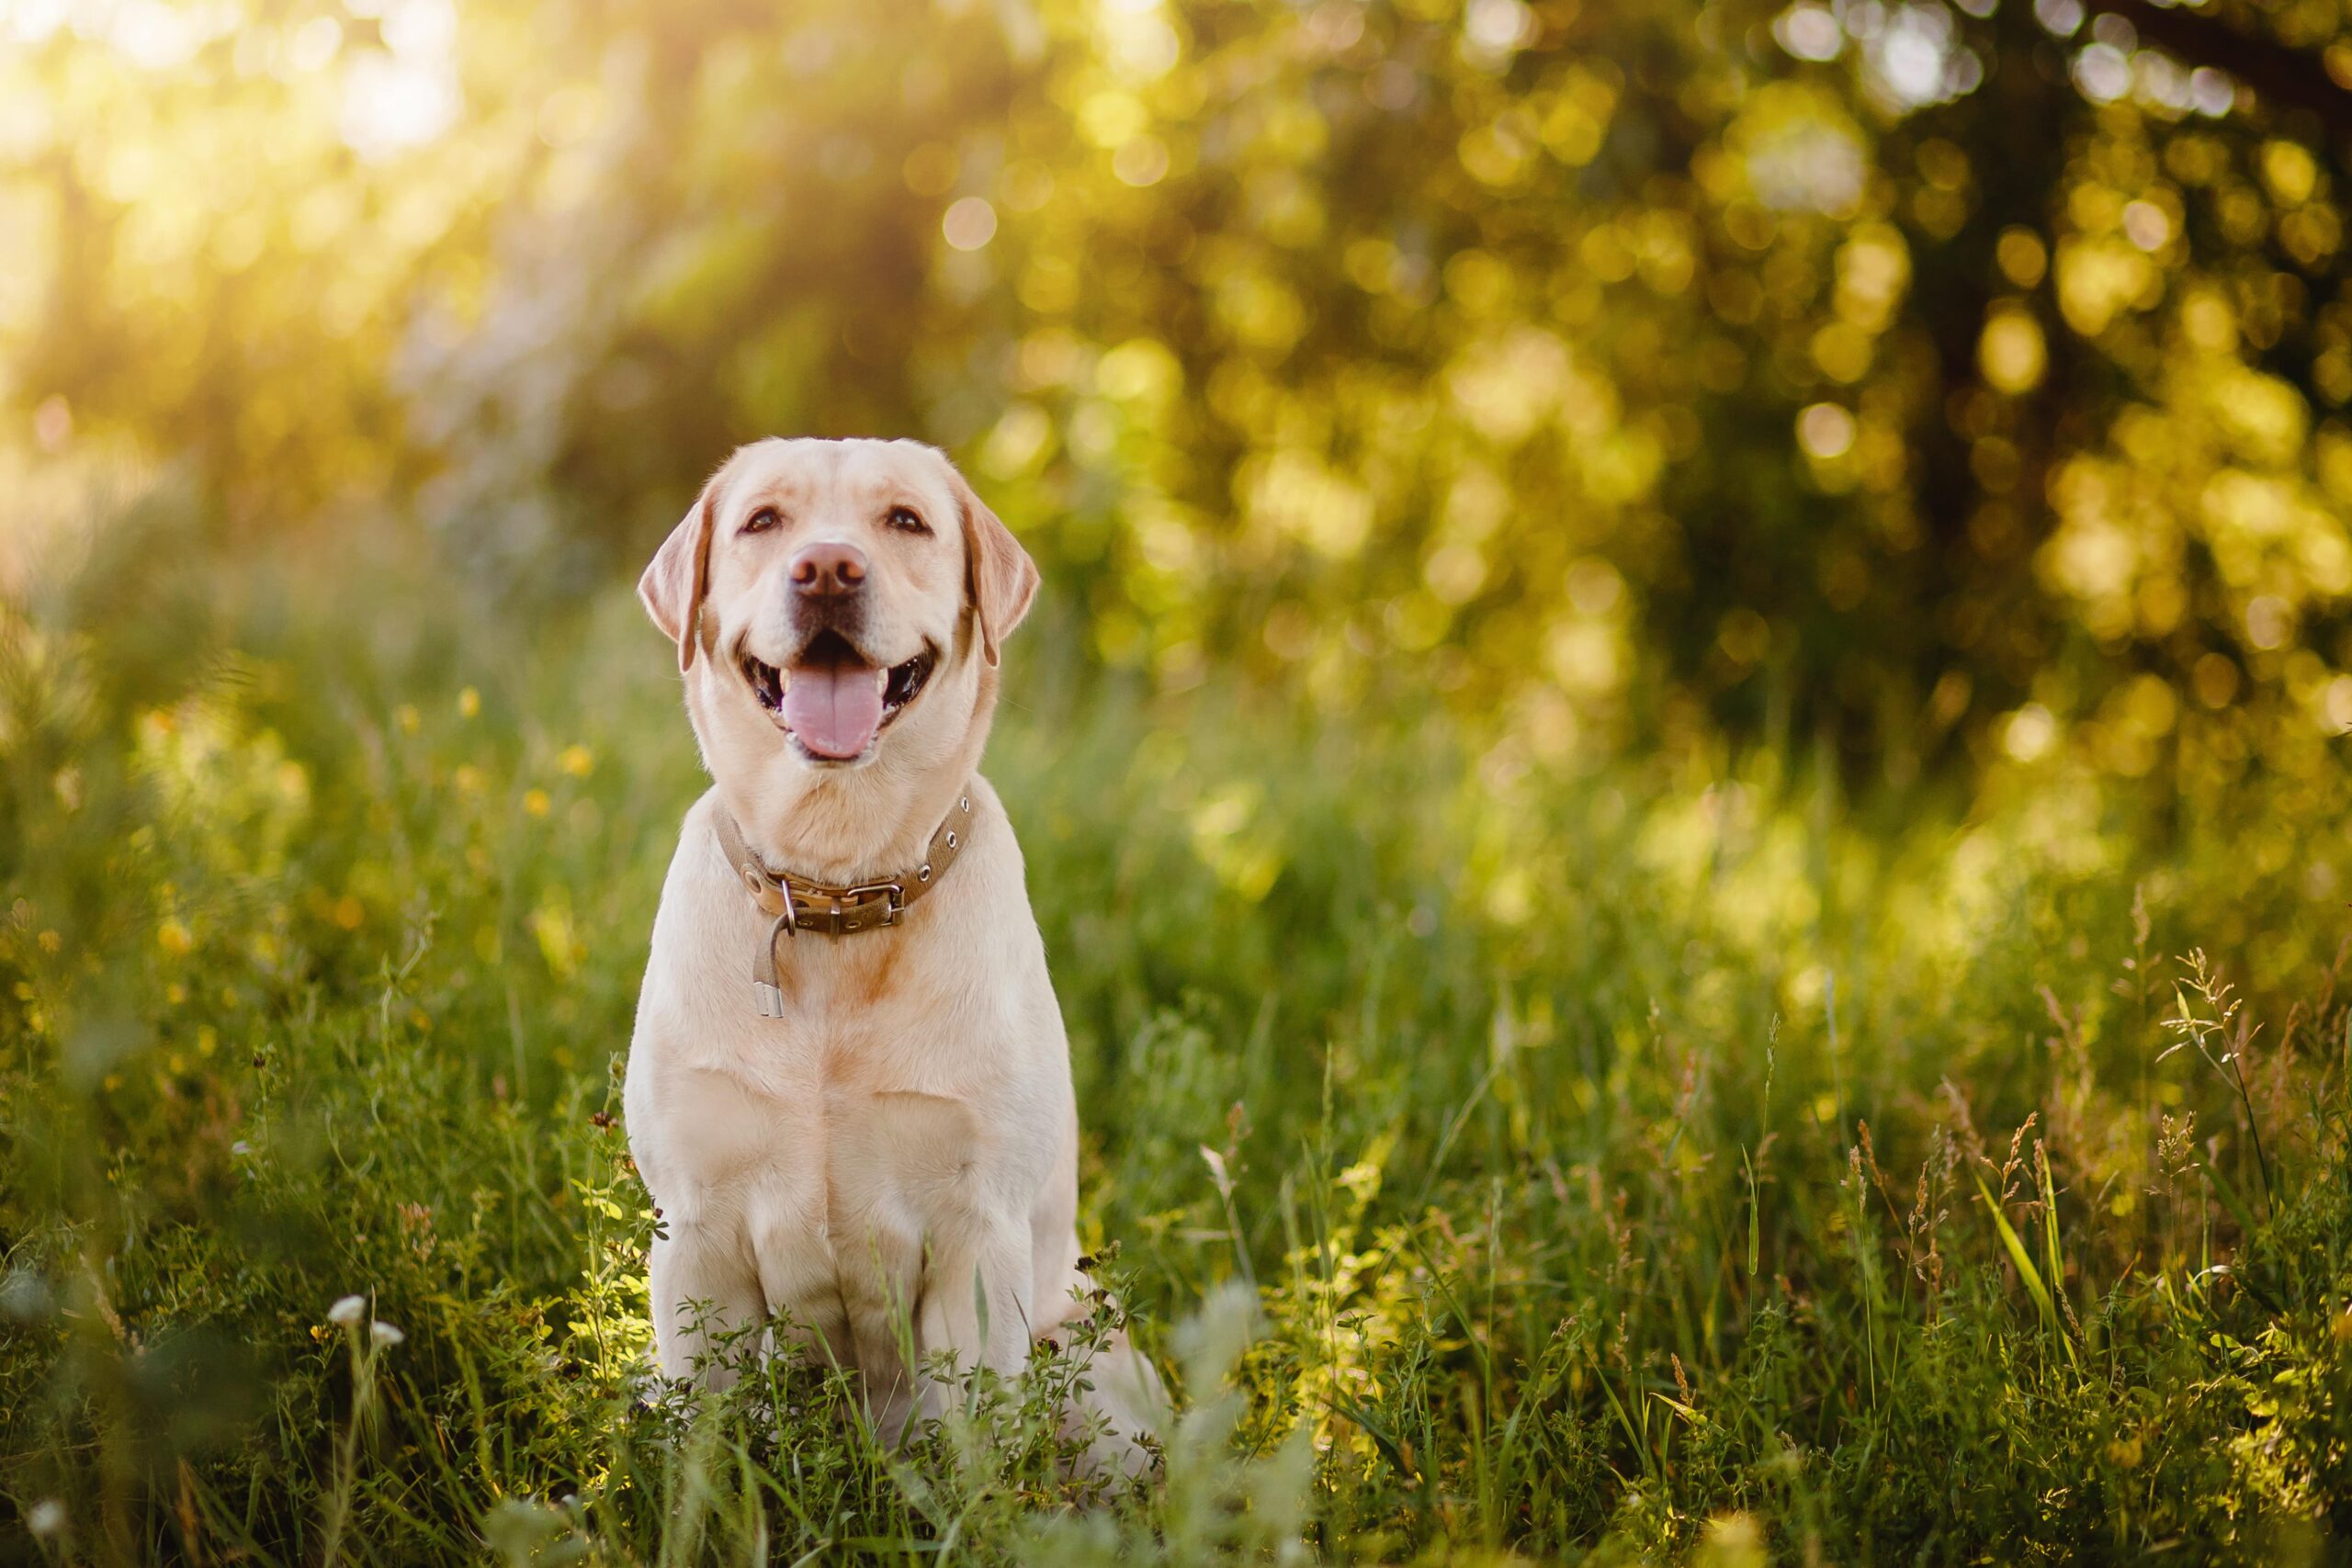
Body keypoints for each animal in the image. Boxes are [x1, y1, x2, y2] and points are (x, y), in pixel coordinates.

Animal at [625, 432, 1166, 1476]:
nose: (828, 570)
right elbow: (704, 1452)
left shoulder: (978, 1242)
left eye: (905, 521)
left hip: (1092, 1362)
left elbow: (975, 1455)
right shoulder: (695, 1235)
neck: (836, 891)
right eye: (763, 521)